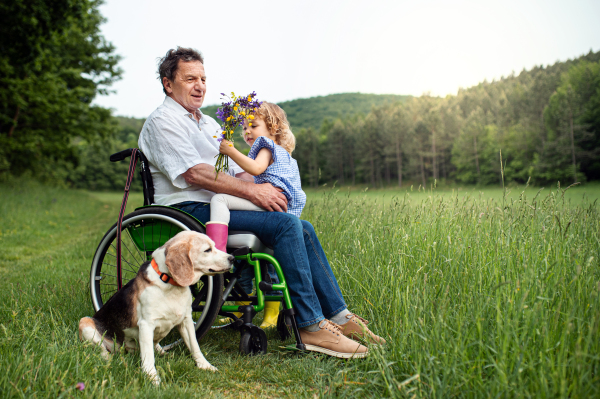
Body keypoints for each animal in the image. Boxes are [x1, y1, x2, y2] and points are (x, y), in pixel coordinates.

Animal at [78, 231, 232, 384]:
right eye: (207, 250)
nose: (232, 258)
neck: (169, 284)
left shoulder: (186, 321)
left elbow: (195, 346)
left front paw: (205, 366)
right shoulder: (146, 324)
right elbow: (148, 356)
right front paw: (151, 377)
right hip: (85, 322)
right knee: (102, 350)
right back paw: (107, 359)